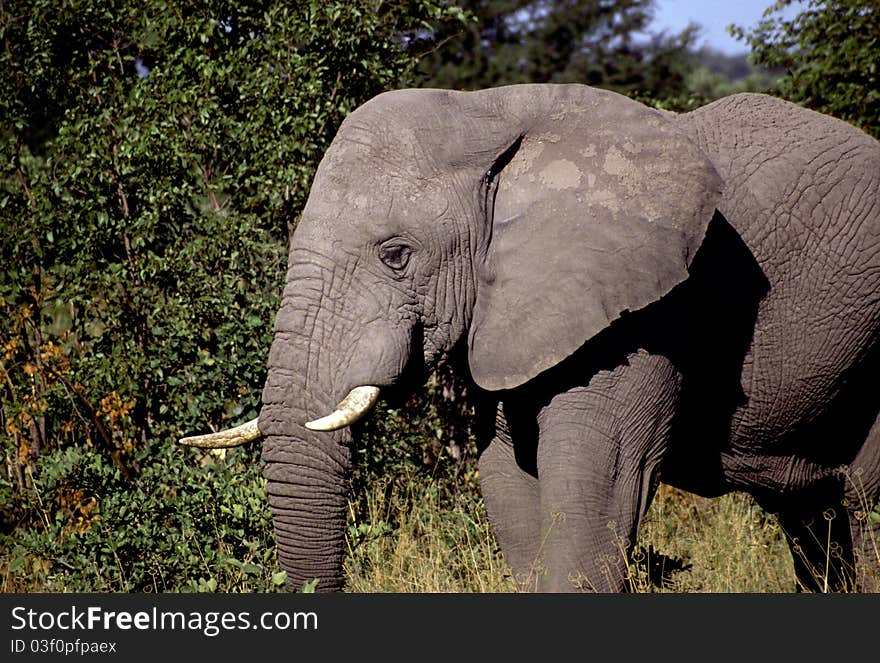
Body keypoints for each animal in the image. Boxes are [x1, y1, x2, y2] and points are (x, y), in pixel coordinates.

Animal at [180, 84, 880, 596]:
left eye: (396, 255)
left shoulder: (646, 311)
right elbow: (508, 484)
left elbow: (602, 485)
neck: (496, 111)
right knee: (813, 520)